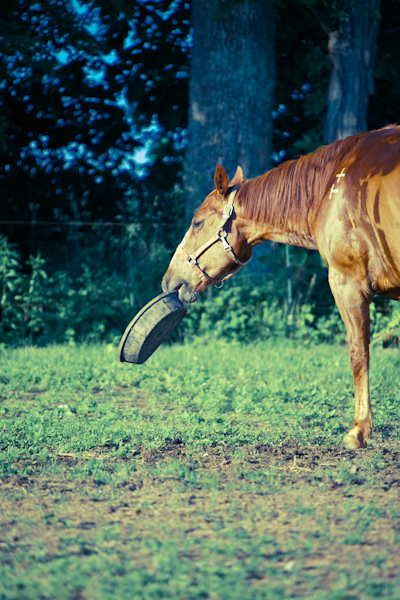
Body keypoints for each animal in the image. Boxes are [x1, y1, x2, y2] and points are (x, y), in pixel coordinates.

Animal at [161, 124, 400, 448]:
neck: (330, 189)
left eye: (197, 223)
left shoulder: (347, 283)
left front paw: (359, 431)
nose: (168, 280)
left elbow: (358, 355)